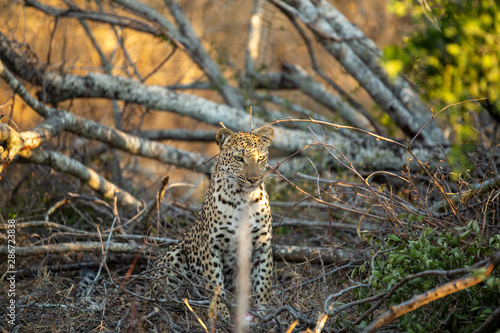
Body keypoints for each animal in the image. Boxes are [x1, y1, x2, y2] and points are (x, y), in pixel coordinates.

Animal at [150, 126, 276, 322]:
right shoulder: (210, 248)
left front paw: (264, 313)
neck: (243, 199)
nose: (254, 179)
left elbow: (264, 281)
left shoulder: (262, 246)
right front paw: (221, 315)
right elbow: (215, 284)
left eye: (261, 158)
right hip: (174, 253)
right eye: (239, 159)